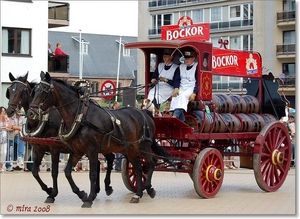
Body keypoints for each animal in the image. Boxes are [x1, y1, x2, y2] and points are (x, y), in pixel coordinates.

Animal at [5, 73, 114, 204]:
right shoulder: (38, 149)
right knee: (98, 163)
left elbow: (54, 172)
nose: (9, 111)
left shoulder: (54, 149)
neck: (43, 120)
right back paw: (97, 190)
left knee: (110, 158)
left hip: (101, 146)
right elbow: (35, 172)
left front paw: (53, 194)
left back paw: (107, 187)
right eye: (9, 90)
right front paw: (48, 190)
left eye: (21, 91)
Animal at [28, 71, 173, 207]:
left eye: (44, 91)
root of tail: (145, 113)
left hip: (143, 147)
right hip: (130, 150)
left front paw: (89, 198)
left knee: (152, 162)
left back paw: (148, 188)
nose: (30, 113)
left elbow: (92, 174)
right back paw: (137, 194)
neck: (80, 116)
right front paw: (81, 194)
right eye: (34, 91)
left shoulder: (90, 150)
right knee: (138, 168)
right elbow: (67, 172)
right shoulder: (76, 151)